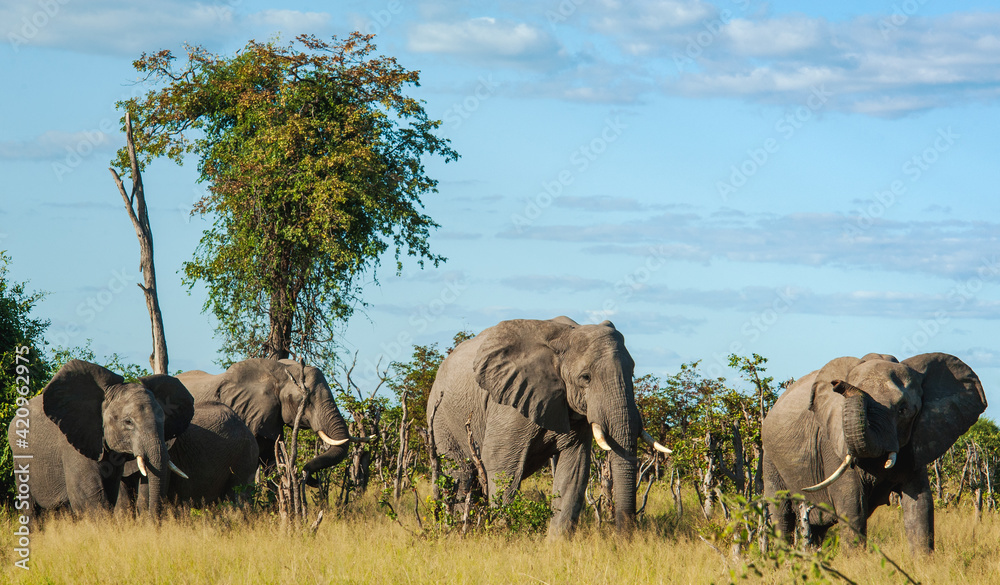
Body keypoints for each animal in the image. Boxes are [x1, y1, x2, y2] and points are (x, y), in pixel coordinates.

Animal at [7, 359, 194, 518]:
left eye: (164, 420)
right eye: (128, 422)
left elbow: (110, 494)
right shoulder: (73, 442)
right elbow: (87, 497)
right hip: (20, 458)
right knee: (30, 510)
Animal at [427, 316, 669, 538]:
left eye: (632, 373)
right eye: (586, 377)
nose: (623, 539)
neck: (564, 338)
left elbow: (575, 467)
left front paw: (557, 544)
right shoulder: (508, 404)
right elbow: (501, 464)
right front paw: (502, 536)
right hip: (441, 418)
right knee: (462, 474)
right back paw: (462, 530)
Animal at [762, 352, 987, 554]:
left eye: (903, 410)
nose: (837, 383)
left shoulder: (918, 441)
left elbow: (920, 504)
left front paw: (923, 563)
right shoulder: (832, 443)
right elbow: (852, 506)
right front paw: (856, 562)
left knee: (816, 526)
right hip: (770, 459)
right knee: (782, 514)